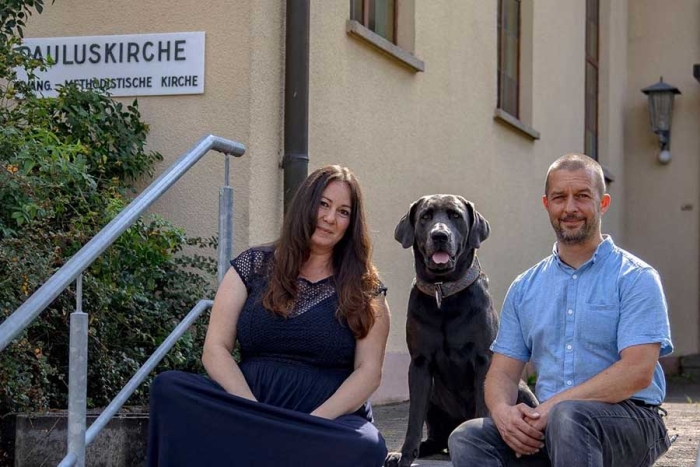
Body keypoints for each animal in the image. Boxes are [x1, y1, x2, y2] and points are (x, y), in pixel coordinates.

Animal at [382, 195, 536, 467]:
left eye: (455, 216)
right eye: (425, 216)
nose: (439, 235)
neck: (443, 292)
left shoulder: (484, 359)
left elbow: (482, 409)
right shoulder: (419, 364)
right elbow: (413, 419)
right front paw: (403, 454)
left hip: (521, 390)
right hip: (433, 396)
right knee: (436, 436)